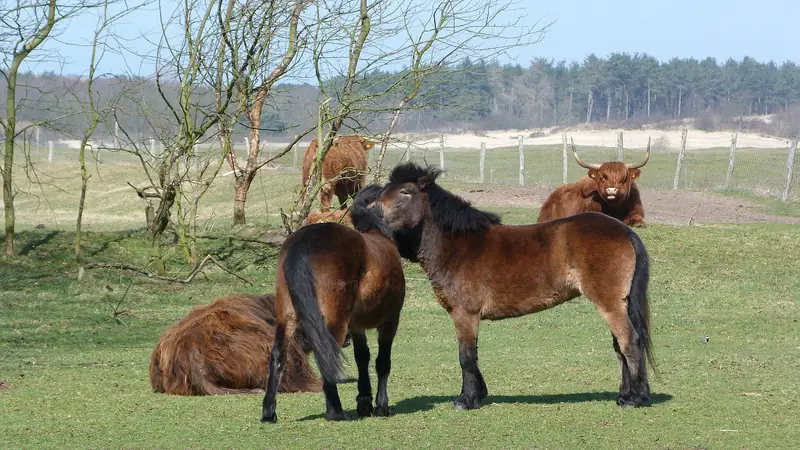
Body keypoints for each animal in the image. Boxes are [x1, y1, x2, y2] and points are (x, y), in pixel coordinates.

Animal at [260, 184, 406, 423]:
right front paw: (381, 406)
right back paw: (336, 412)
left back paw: (268, 413)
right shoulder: (390, 321)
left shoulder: (356, 326)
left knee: (278, 354)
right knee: (326, 356)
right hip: (335, 322)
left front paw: (364, 402)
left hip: (287, 315)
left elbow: (362, 357)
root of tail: (305, 241)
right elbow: (382, 362)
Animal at [371, 162, 655, 411]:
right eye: (384, 191)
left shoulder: (465, 315)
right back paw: (626, 395)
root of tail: (625, 231)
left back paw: (633, 399)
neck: (459, 246)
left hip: (610, 304)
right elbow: (473, 355)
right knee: (621, 346)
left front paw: (466, 399)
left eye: (405, 191)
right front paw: (478, 393)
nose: (374, 212)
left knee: (629, 341)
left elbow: (466, 357)